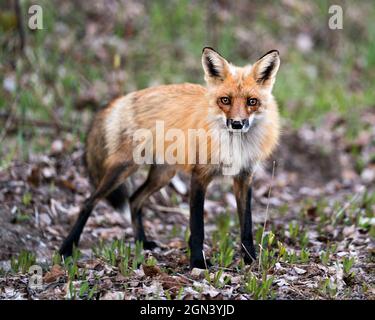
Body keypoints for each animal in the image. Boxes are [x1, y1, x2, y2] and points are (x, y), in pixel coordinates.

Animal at [60, 47, 280, 268]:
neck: (235, 145)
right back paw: (66, 248)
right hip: (123, 169)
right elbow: (197, 227)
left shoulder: (244, 177)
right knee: (89, 202)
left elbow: (246, 225)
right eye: (225, 100)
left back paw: (142, 243)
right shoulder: (199, 176)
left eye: (252, 102)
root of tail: (123, 99)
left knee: (134, 199)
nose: (236, 124)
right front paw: (198, 262)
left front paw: (250, 259)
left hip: (163, 175)